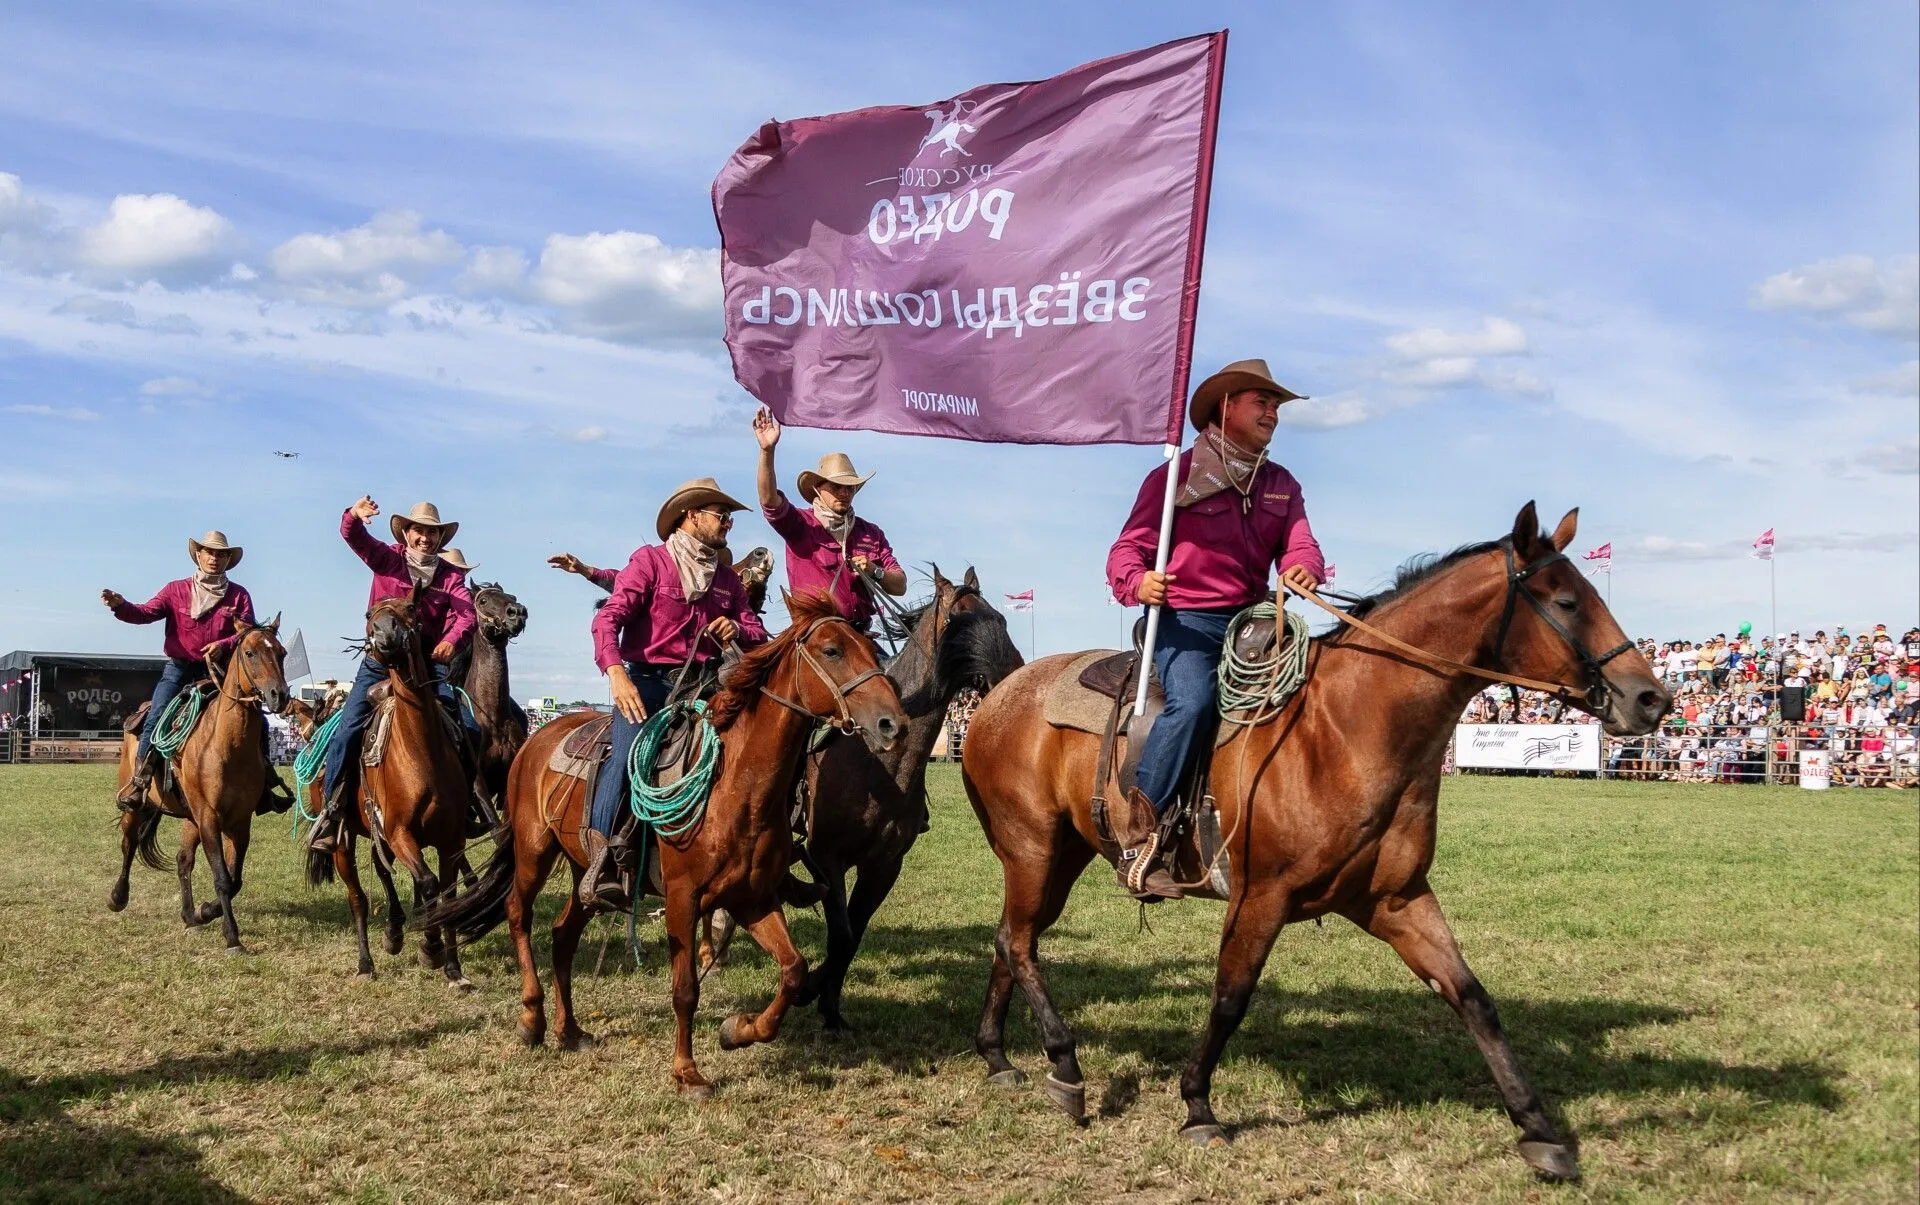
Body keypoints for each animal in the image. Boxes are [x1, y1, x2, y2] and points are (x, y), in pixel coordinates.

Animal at [110, 621, 291, 951]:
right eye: (250, 653)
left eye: (282, 653)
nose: (279, 695)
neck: (225, 746)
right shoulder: (209, 817)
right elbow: (222, 877)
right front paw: (232, 937)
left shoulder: (239, 821)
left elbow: (235, 879)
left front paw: (206, 911)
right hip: (138, 806)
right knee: (129, 843)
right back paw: (118, 897)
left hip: (190, 817)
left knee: (183, 861)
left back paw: (189, 916)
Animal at [307, 587, 476, 982]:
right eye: (369, 614)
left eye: (412, 608)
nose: (386, 634)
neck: (421, 755)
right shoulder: (400, 833)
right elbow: (428, 883)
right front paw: (430, 945)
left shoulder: (451, 839)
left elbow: (446, 893)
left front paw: (452, 968)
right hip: (343, 842)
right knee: (358, 898)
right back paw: (366, 963)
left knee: (381, 868)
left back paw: (395, 930)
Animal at [420, 594, 898, 1105]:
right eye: (832, 650)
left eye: (871, 648)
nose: (892, 723)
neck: (734, 787)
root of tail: (536, 739)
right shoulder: (683, 899)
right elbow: (685, 989)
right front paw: (687, 1073)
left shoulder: (752, 898)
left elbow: (793, 969)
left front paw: (738, 1030)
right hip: (533, 853)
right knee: (518, 915)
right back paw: (532, 1018)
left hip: (586, 875)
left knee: (563, 934)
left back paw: (571, 1031)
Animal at [967, 502, 1674, 1181]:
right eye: (1566, 602)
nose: (1651, 698)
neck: (1342, 731)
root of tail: (1000, 694)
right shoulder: (1259, 898)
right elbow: (1230, 998)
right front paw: (1197, 1106)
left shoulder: (1396, 900)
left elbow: (1473, 999)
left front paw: (1538, 1129)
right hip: (1031, 846)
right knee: (1021, 942)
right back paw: (1066, 1067)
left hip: (1063, 854)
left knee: (1010, 937)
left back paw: (998, 1057)